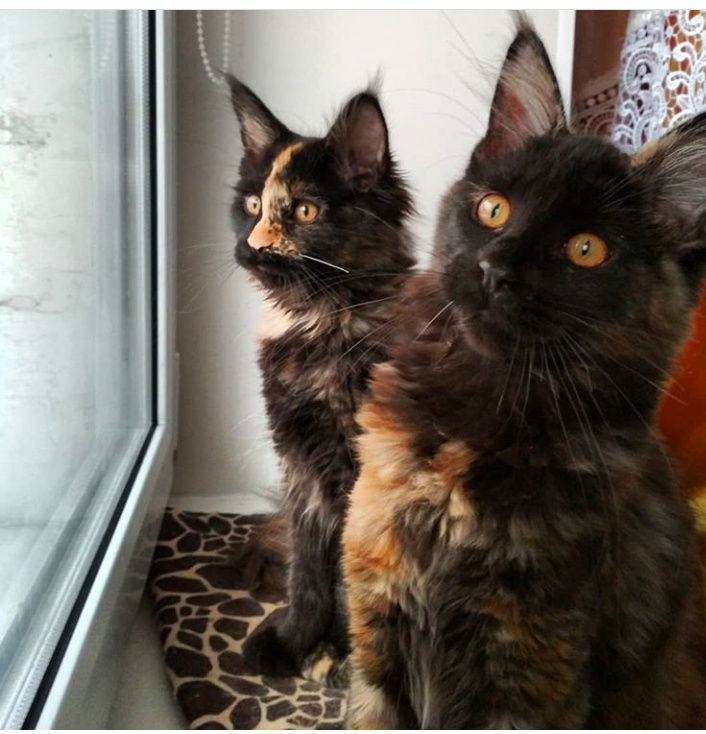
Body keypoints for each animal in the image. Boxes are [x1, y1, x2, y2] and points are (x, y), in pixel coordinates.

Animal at [226, 75, 415, 682]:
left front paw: (345, 654)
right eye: (253, 205)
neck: (321, 322)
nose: (252, 245)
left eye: (306, 211)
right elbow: (307, 570)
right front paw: (295, 639)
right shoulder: (300, 466)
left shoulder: (365, 477)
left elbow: (349, 577)